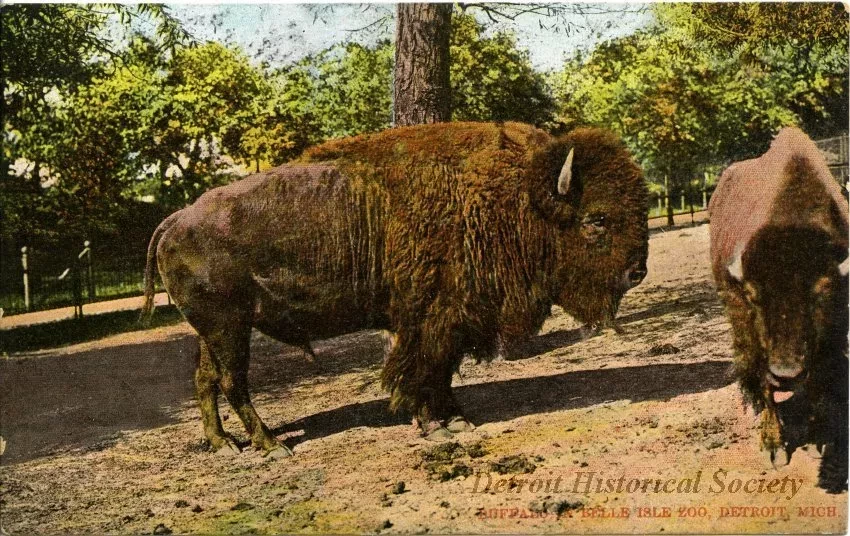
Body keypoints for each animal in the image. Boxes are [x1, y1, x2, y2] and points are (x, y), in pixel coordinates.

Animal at [142, 122, 648, 457]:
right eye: (597, 218)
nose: (636, 272)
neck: (517, 193)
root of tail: (174, 220)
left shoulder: (452, 322)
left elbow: (442, 373)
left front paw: (458, 420)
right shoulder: (429, 320)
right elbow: (420, 372)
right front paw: (434, 427)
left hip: (215, 332)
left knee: (206, 379)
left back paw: (224, 444)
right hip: (228, 329)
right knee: (233, 381)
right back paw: (270, 447)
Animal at [709, 127, 848, 492]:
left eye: (822, 292)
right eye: (754, 295)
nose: (786, 374)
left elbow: (817, 381)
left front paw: (816, 441)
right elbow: (763, 379)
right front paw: (773, 448)